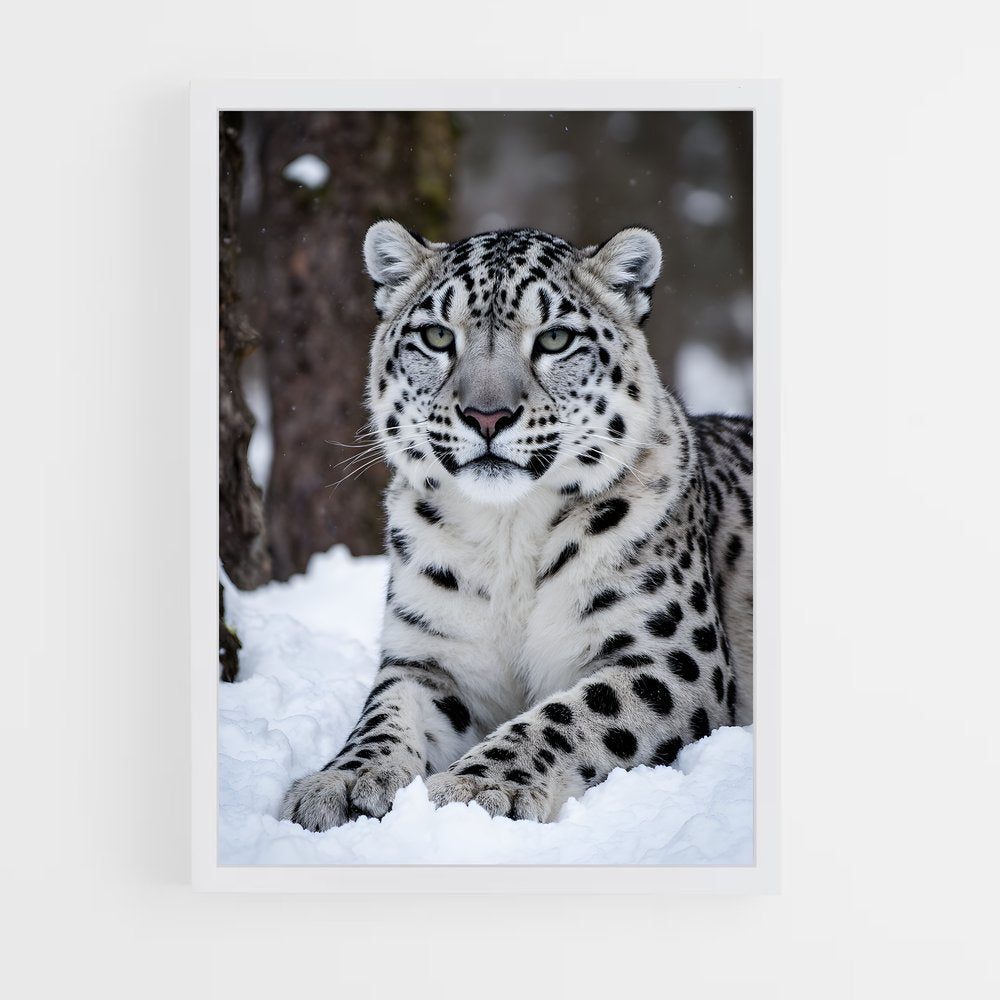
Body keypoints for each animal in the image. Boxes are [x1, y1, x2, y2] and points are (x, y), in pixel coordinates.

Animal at [279, 220, 753, 831]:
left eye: (555, 340)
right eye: (437, 336)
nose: (487, 415)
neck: (508, 537)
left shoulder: (669, 655)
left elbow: (571, 714)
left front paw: (480, 787)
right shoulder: (429, 657)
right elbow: (383, 714)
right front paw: (342, 782)